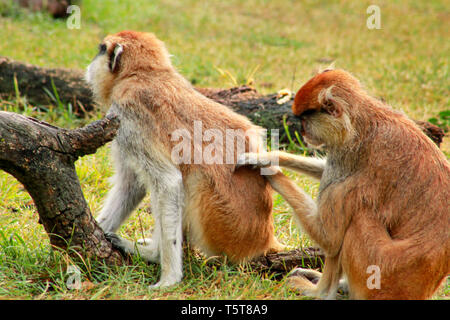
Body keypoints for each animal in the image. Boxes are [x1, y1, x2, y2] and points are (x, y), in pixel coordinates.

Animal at [84, 31, 284, 288]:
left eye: (101, 49)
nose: (90, 65)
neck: (145, 73)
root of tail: (265, 238)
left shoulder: (127, 118)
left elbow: (168, 182)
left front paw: (168, 278)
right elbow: (132, 185)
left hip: (222, 228)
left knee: (190, 180)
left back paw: (153, 254)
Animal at [237, 69, 448, 298]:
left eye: (305, 120)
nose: (303, 133)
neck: (359, 124)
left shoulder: (357, 171)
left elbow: (329, 238)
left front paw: (267, 168)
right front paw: (268, 156)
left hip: (378, 272)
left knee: (356, 219)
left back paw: (320, 291)